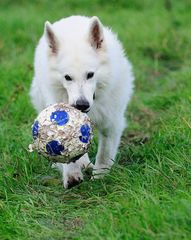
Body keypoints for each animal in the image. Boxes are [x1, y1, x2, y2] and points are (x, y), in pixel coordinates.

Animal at [30, 15, 134, 188]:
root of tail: (71, 18)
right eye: (67, 77)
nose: (81, 105)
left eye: (90, 75)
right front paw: (71, 175)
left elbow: (104, 153)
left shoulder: (111, 123)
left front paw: (100, 177)